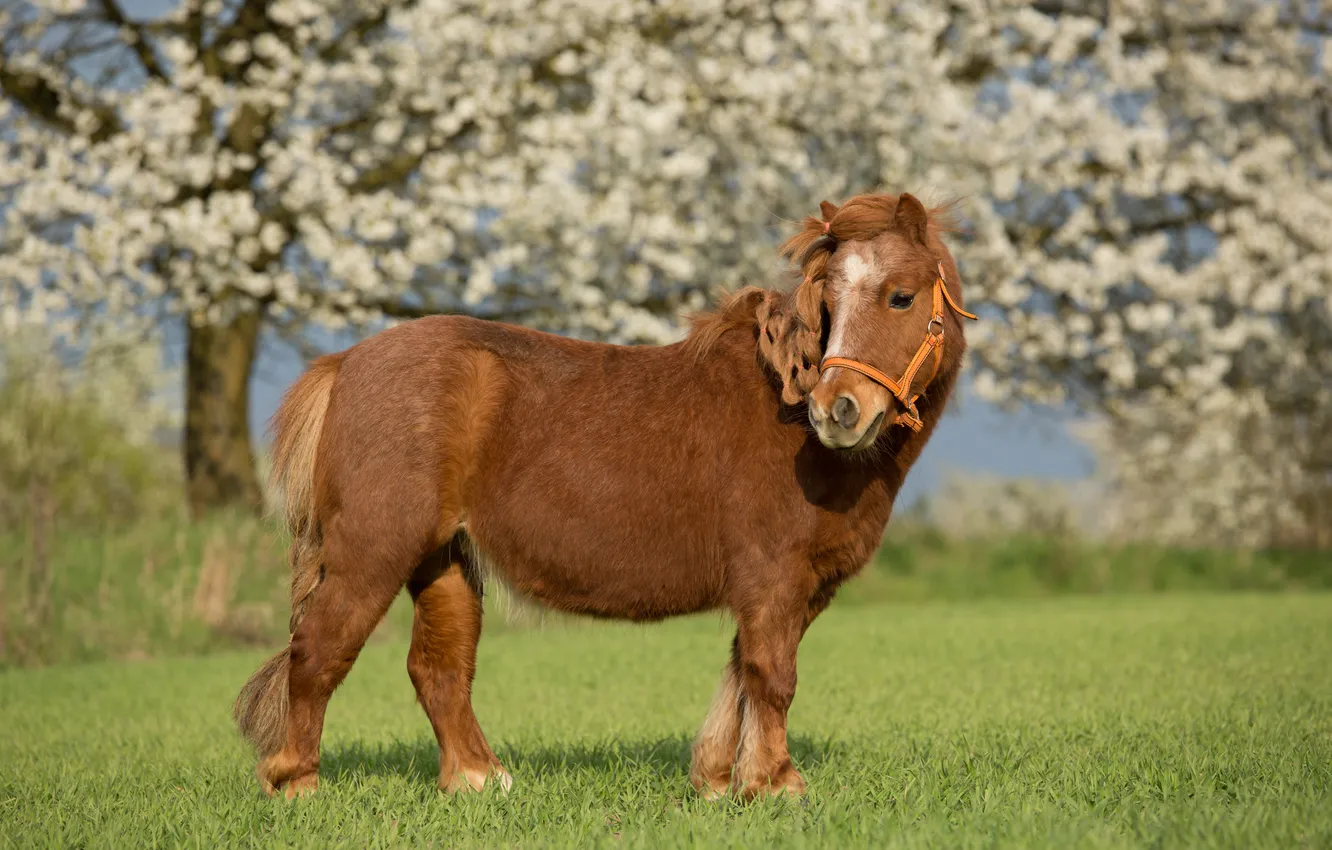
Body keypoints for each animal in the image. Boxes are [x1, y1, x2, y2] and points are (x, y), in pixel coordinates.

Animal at [233, 191, 977, 800]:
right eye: (829, 304)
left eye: (901, 296)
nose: (837, 410)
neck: (784, 409)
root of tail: (347, 362)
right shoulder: (773, 580)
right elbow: (772, 675)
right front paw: (773, 786)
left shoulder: (795, 588)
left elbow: (742, 673)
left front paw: (719, 780)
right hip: (371, 556)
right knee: (319, 651)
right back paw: (297, 782)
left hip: (441, 561)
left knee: (438, 670)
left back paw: (478, 779)